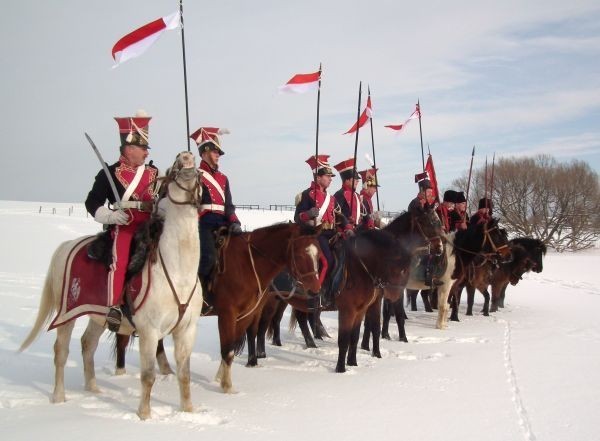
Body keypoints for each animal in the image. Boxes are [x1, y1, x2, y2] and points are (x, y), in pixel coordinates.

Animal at [19, 152, 204, 420]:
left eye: (196, 168)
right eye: (173, 169)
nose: (186, 157)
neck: (178, 271)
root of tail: (68, 245)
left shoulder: (186, 330)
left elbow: (185, 374)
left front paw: (188, 411)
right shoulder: (149, 331)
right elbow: (148, 376)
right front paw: (144, 415)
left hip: (98, 315)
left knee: (88, 344)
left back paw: (93, 389)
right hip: (67, 315)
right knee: (61, 352)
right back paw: (59, 397)